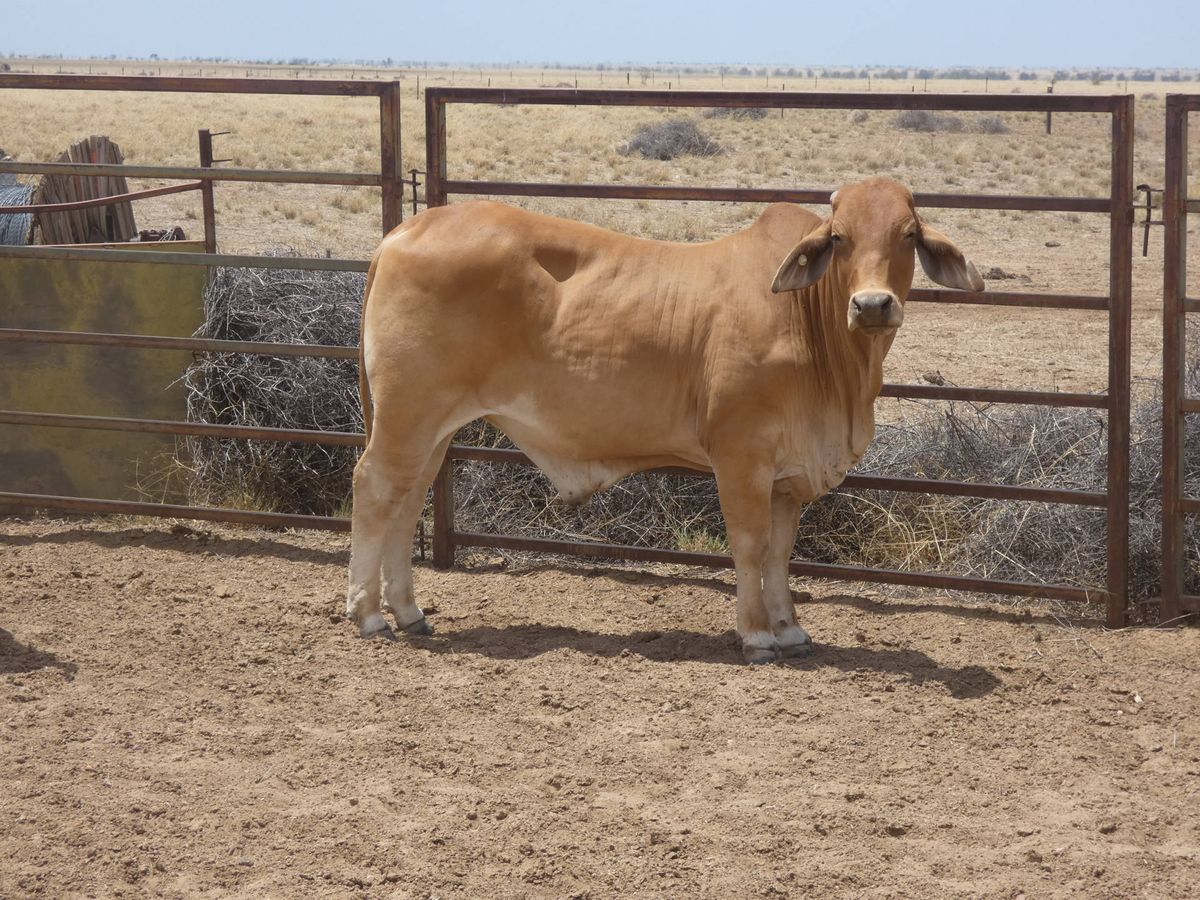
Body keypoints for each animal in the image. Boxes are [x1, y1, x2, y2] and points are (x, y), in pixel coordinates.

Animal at [346, 176, 984, 663]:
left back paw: (409, 611)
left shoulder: (787, 476)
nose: (872, 305)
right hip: (408, 415)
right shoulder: (741, 456)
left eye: (908, 234)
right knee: (374, 487)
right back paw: (368, 614)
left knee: (407, 500)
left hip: (433, 426)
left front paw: (790, 629)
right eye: (840, 237)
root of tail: (407, 230)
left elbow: (780, 553)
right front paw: (757, 636)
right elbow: (750, 545)